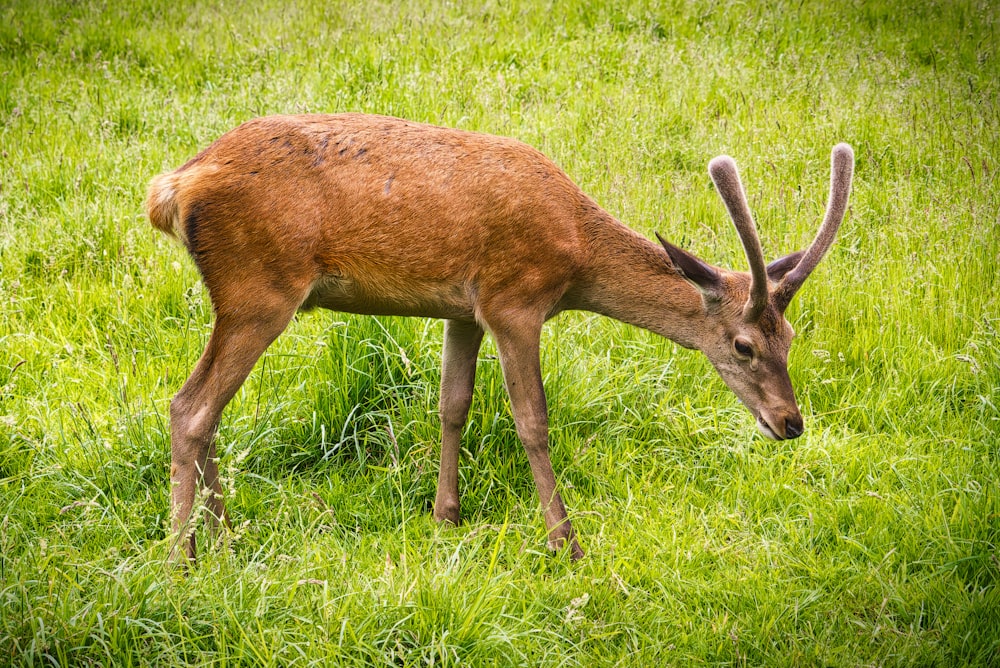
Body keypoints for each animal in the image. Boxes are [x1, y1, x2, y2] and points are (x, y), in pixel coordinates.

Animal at [146, 112, 852, 560]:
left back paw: (225, 538)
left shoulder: (464, 309)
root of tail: (172, 187)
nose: (790, 422)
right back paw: (182, 560)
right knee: (190, 407)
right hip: (258, 288)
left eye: (791, 338)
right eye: (743, 345)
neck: (575, 258)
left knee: (209, 411)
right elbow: (532, 419)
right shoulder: (515, 300)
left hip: (245, 295)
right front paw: (566, 542)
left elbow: (452, 404)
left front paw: (445, 517)